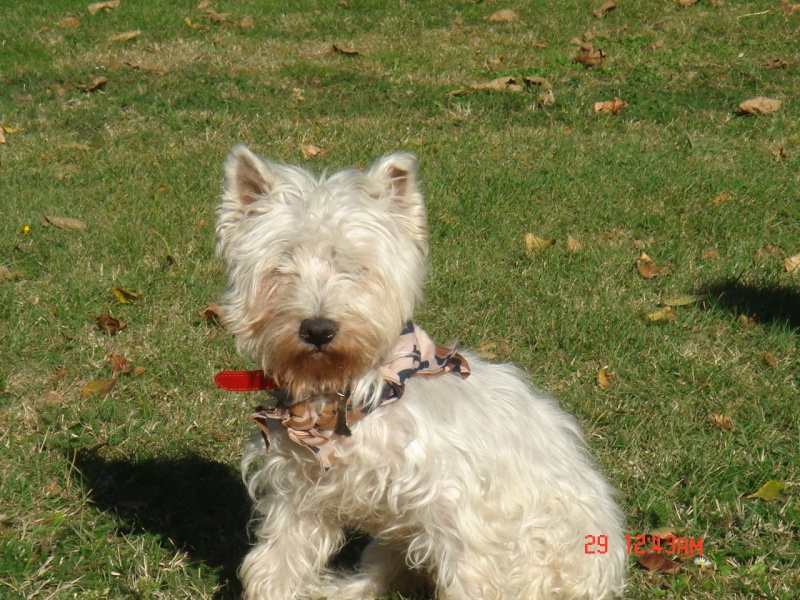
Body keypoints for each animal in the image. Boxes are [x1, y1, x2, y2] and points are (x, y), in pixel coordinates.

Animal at [216, 146, 628, 600]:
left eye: (356, 268)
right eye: (283, 266)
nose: (318, 329)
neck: (351, 396)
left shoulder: (456, 511)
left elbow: (469, 577)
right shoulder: (297, 495)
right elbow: (275, 564)